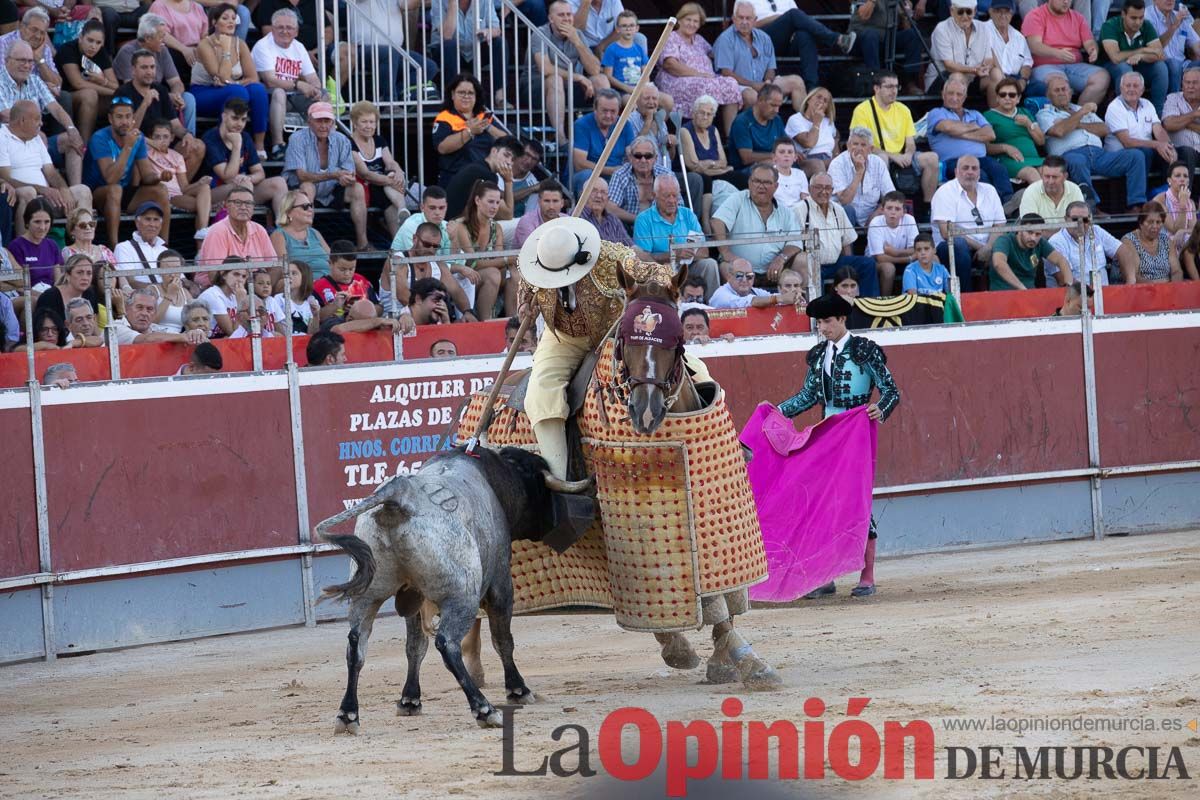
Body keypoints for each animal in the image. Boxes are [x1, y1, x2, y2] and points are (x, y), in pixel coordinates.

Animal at [314, 443, 585, 734]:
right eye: (536, 479)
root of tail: (397, 496)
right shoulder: (501, 583)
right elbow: (502, 639)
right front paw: (518, 690)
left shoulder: (412, 599)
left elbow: (415, 645)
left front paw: (410, 700)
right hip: (461, 597)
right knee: (447, 643)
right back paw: (484, 709)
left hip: (367, 594)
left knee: (356, 644)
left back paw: (348, 714)